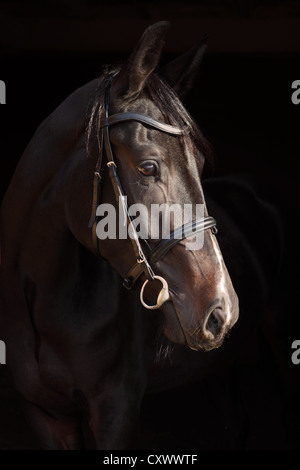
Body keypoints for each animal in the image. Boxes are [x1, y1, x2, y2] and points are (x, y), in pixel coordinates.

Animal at [0, 20, 292, 450]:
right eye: (148, 167)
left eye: (199, 162)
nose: (223, 309)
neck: (42, 305)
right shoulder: (45, 416)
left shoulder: (116, 412)